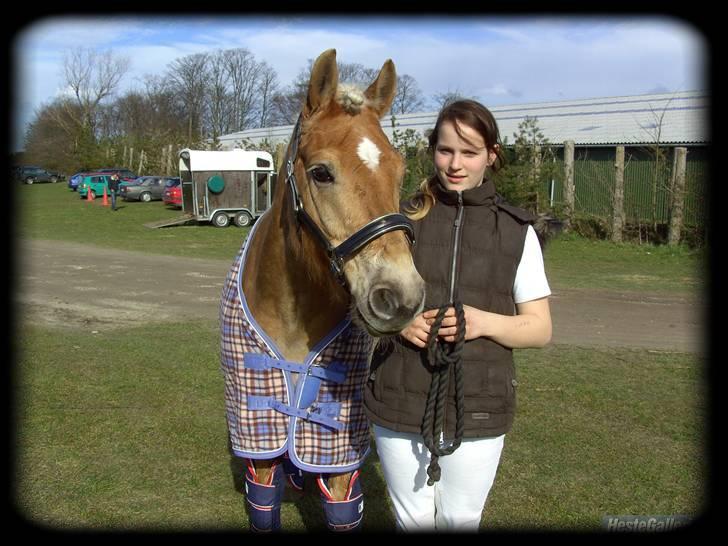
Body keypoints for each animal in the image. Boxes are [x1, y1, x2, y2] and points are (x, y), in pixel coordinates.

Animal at [222, 49, 426, 528]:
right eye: (321, 172)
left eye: (400, 170)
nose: (401, 297)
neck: (293, 317)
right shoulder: (261, 445)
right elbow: (264, 503)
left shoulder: (336, 457)